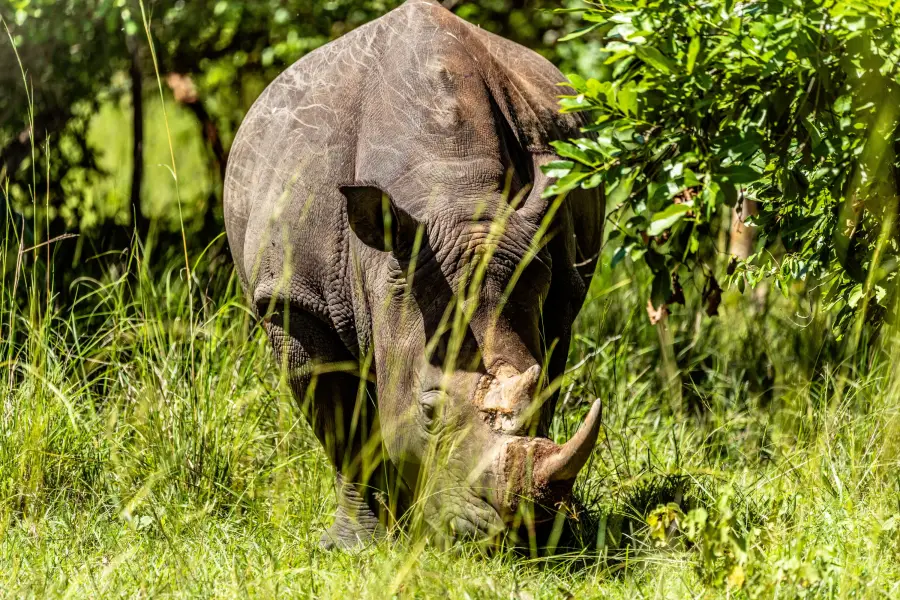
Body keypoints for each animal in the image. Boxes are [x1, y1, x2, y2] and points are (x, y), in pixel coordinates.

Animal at [224, 0, 604, 548]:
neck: (454, 191)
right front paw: (357, 545)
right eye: (429, 411)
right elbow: (346, 430)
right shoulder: (294, 300)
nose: (512, 533)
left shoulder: (554, 289)